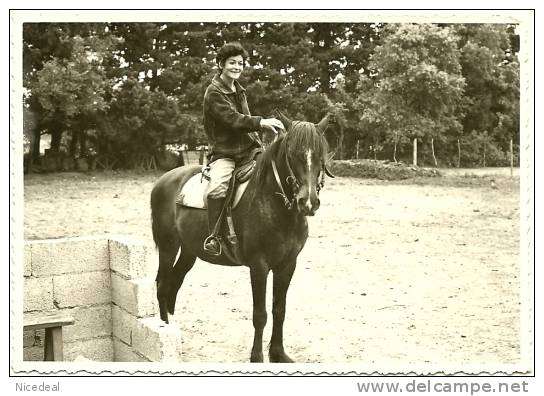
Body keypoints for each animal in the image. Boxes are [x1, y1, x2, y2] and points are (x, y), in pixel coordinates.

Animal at [151, 111, 334, 362]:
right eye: (292, 154)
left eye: (319, 155)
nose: (308, 202)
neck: (274, 204)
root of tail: (163, 180)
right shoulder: (259, 266)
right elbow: (260, 314)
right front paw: (257, 357)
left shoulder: (288, 264)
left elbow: (280, 309)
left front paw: (278, 353)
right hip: (168, 246)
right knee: (162, 286)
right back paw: (165, 333)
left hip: (189, 251)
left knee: (173, 284)